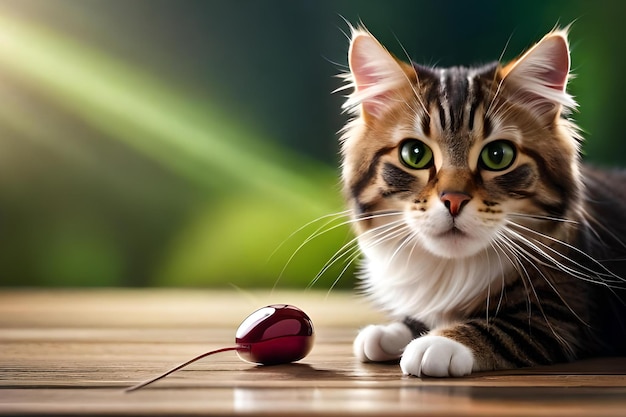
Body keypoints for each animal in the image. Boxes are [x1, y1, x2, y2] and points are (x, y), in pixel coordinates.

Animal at [336, 26, 624, 376]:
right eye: (414, 154)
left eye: (498, 156)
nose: (454, 199)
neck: (453, 267)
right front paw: (390, 332)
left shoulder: (561, 313)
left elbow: (498, 329)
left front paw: (438, 342)